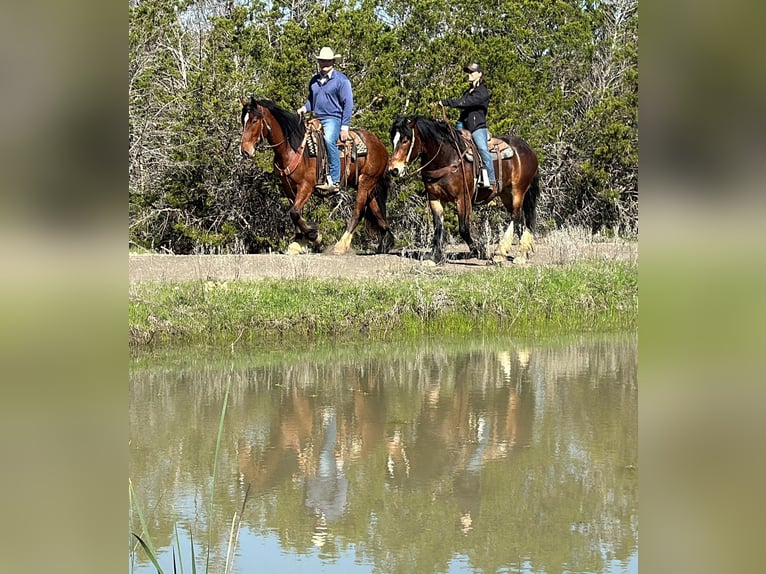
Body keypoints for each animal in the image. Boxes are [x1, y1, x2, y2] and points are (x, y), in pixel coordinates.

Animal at [240, 98, 396, 255]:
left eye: (254, 120)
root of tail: (380, 145)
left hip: (366, 182)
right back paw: (384, 244)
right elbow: (296, 214)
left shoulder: (306, 186)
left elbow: (295, 212)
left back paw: (341, 245)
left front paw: (314, 235)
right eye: (243, 120)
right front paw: (299, 242)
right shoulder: (289, 188)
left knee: (358, 211)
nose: (245, 151)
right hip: (370, 186)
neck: (292, 148)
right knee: (377, 212)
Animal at [390, 116, 540, 264]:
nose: (394, 170)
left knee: (516, 216)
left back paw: (510, 255)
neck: (447, 158)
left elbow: (463, 228)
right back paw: (515, 253)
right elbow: (438, 226)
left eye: (405, 140)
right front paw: (435, 257)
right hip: (506, 194)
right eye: (393, 140)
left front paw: (480, 250)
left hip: (518, 191)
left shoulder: (463, 199)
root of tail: (528, 149)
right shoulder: (435, 198)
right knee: (520, 219)